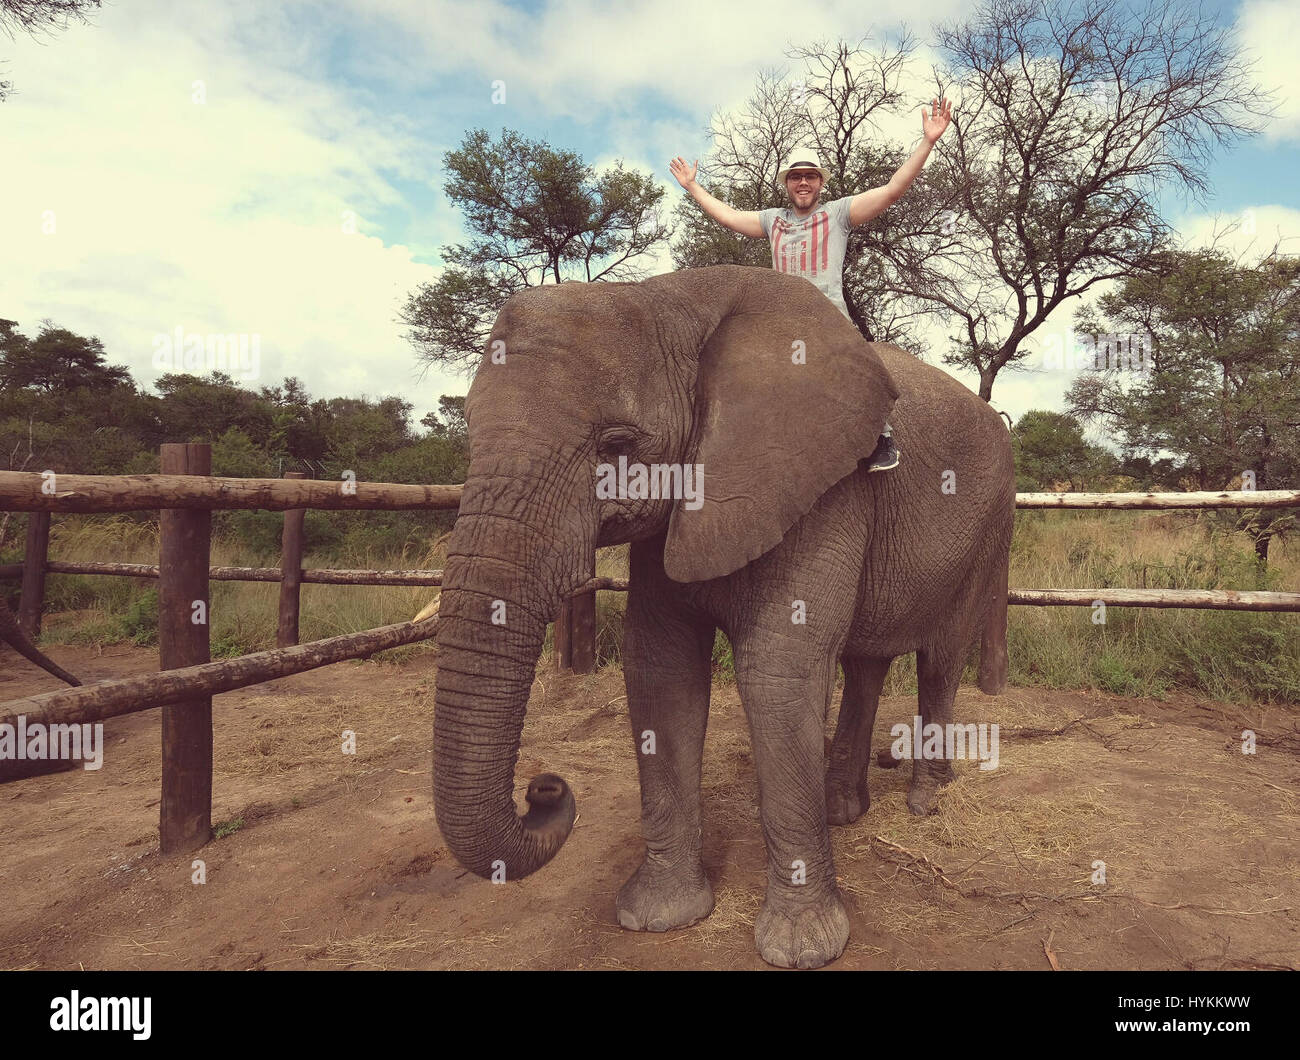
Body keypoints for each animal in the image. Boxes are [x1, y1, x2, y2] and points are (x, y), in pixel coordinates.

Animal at [428, 262, 1013, 967]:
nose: (544, 788)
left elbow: (778, 671)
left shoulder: (820, 485)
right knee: (865, 662)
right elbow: (660, 668)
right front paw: (658, 918)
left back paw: (925, 802)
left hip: (990, 520)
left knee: (940, 659)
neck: (668, 295)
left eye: (615, 444)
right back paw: (842, 810)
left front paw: (803, 948)